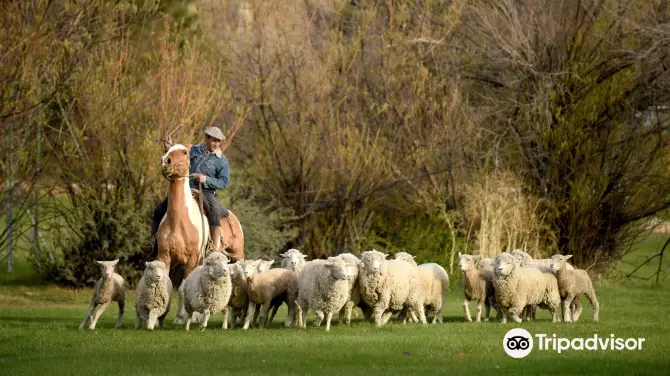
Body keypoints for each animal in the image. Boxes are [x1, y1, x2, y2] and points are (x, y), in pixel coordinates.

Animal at [159, 142, 245, 324]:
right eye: (167, 149)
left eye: (184, 152)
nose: (165, 161)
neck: (179, 221)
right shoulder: (164, 256)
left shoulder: (191, 258)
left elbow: (183, 288)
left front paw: (180, 318)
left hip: (237, 254)